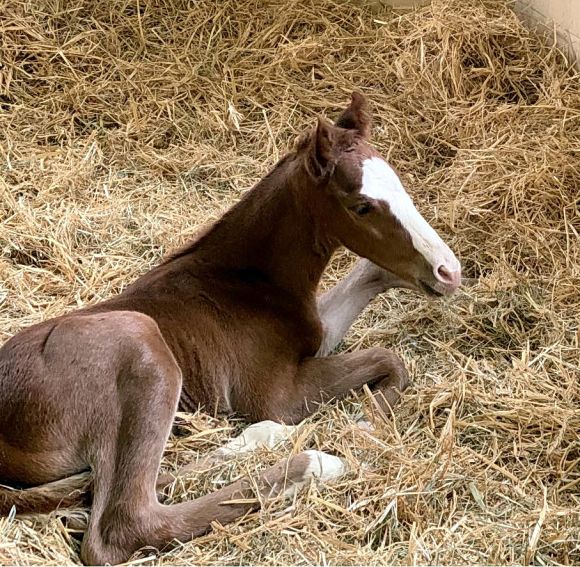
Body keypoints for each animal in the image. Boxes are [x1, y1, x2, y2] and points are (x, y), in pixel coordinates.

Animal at [0, 93, 462, 564]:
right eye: (363, 206)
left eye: (401, 187)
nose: (449, 272)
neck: (248, 282)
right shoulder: (277, 393)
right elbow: (388, 360)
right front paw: (361, 423)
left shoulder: (317, 335)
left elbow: (371, 298)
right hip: (141, 344)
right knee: (124, 524)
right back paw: (313, 462)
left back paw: (258, 441)